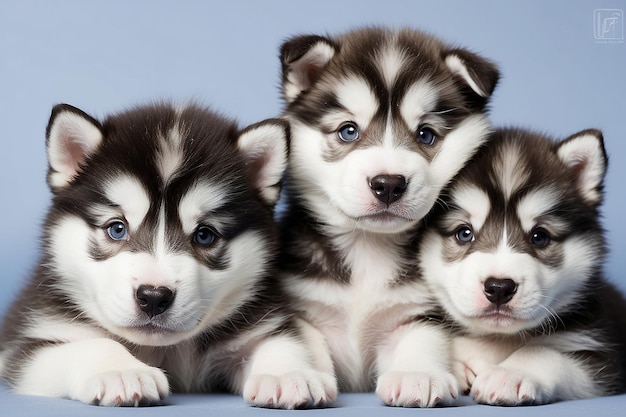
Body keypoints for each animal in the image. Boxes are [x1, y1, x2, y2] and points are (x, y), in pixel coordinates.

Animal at [0, 102, 336, 408]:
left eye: (204, 235)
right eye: (117, 229)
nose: (153, 297)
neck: (166, 350)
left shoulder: (258, 323)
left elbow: (278, 342)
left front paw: (287, 374)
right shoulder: (31, 346)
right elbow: (93, 344)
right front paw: (122, 372)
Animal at [276, 27, 498, 404]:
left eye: (426, 134)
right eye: (348, 130)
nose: (389, 184)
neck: (367, 247)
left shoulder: (418, 309)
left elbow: (421, 337)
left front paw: (417, 374)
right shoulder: (303, 307)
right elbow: (303, 339)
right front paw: (296, 375)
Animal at [416, 128, 624, 404]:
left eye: (539, 237)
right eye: (464, 233)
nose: (499, 288)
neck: (496, 339)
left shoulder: (604, 359)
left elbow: (543, 352)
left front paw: (510, 373)